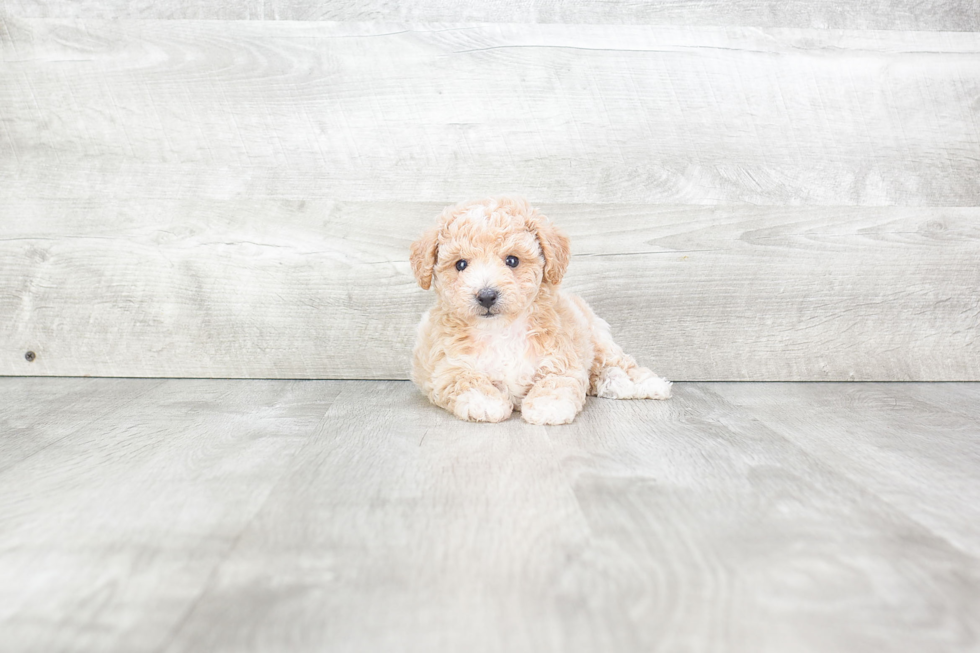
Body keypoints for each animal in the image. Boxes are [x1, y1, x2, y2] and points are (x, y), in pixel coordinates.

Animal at [408, 196, 672, 426]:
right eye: (460, 264)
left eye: (512, 261)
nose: (486, 295)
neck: (500, 330)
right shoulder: (447, 368)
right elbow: (467, 381)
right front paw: (485, 403)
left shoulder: (563, 358)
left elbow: (555, 382)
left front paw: (548, 407)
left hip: (598, 339)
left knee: (617, 363)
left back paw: (646, 384)